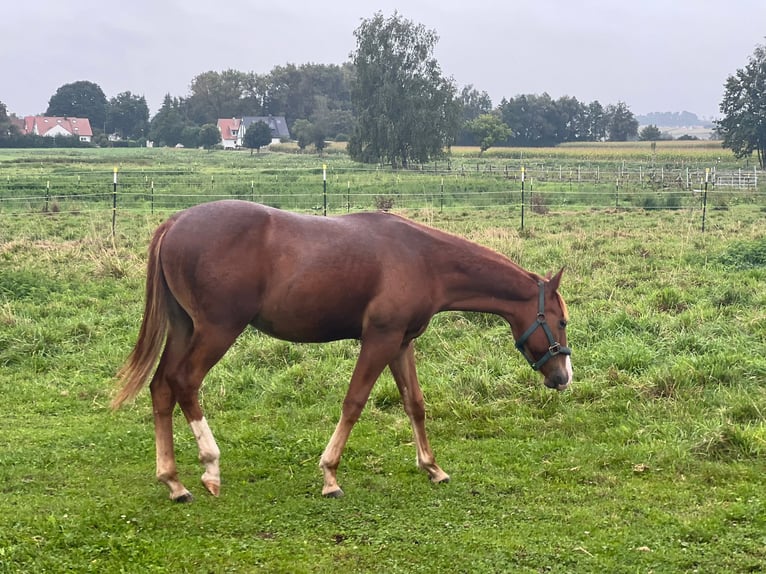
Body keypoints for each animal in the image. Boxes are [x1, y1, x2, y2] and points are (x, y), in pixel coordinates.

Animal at [112, 200, 568, 502]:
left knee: (161, 387)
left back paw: (173, 481)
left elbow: (415, 404)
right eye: (562, 321)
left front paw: (432, 467)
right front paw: (330, 475)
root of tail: (176, 222)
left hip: (185, 328)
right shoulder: (379, 339)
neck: (424, 259)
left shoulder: (401, 342)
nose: (563, 377)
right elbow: (354, 402)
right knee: (185, 382)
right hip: (216, 331)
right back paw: (210, 467)